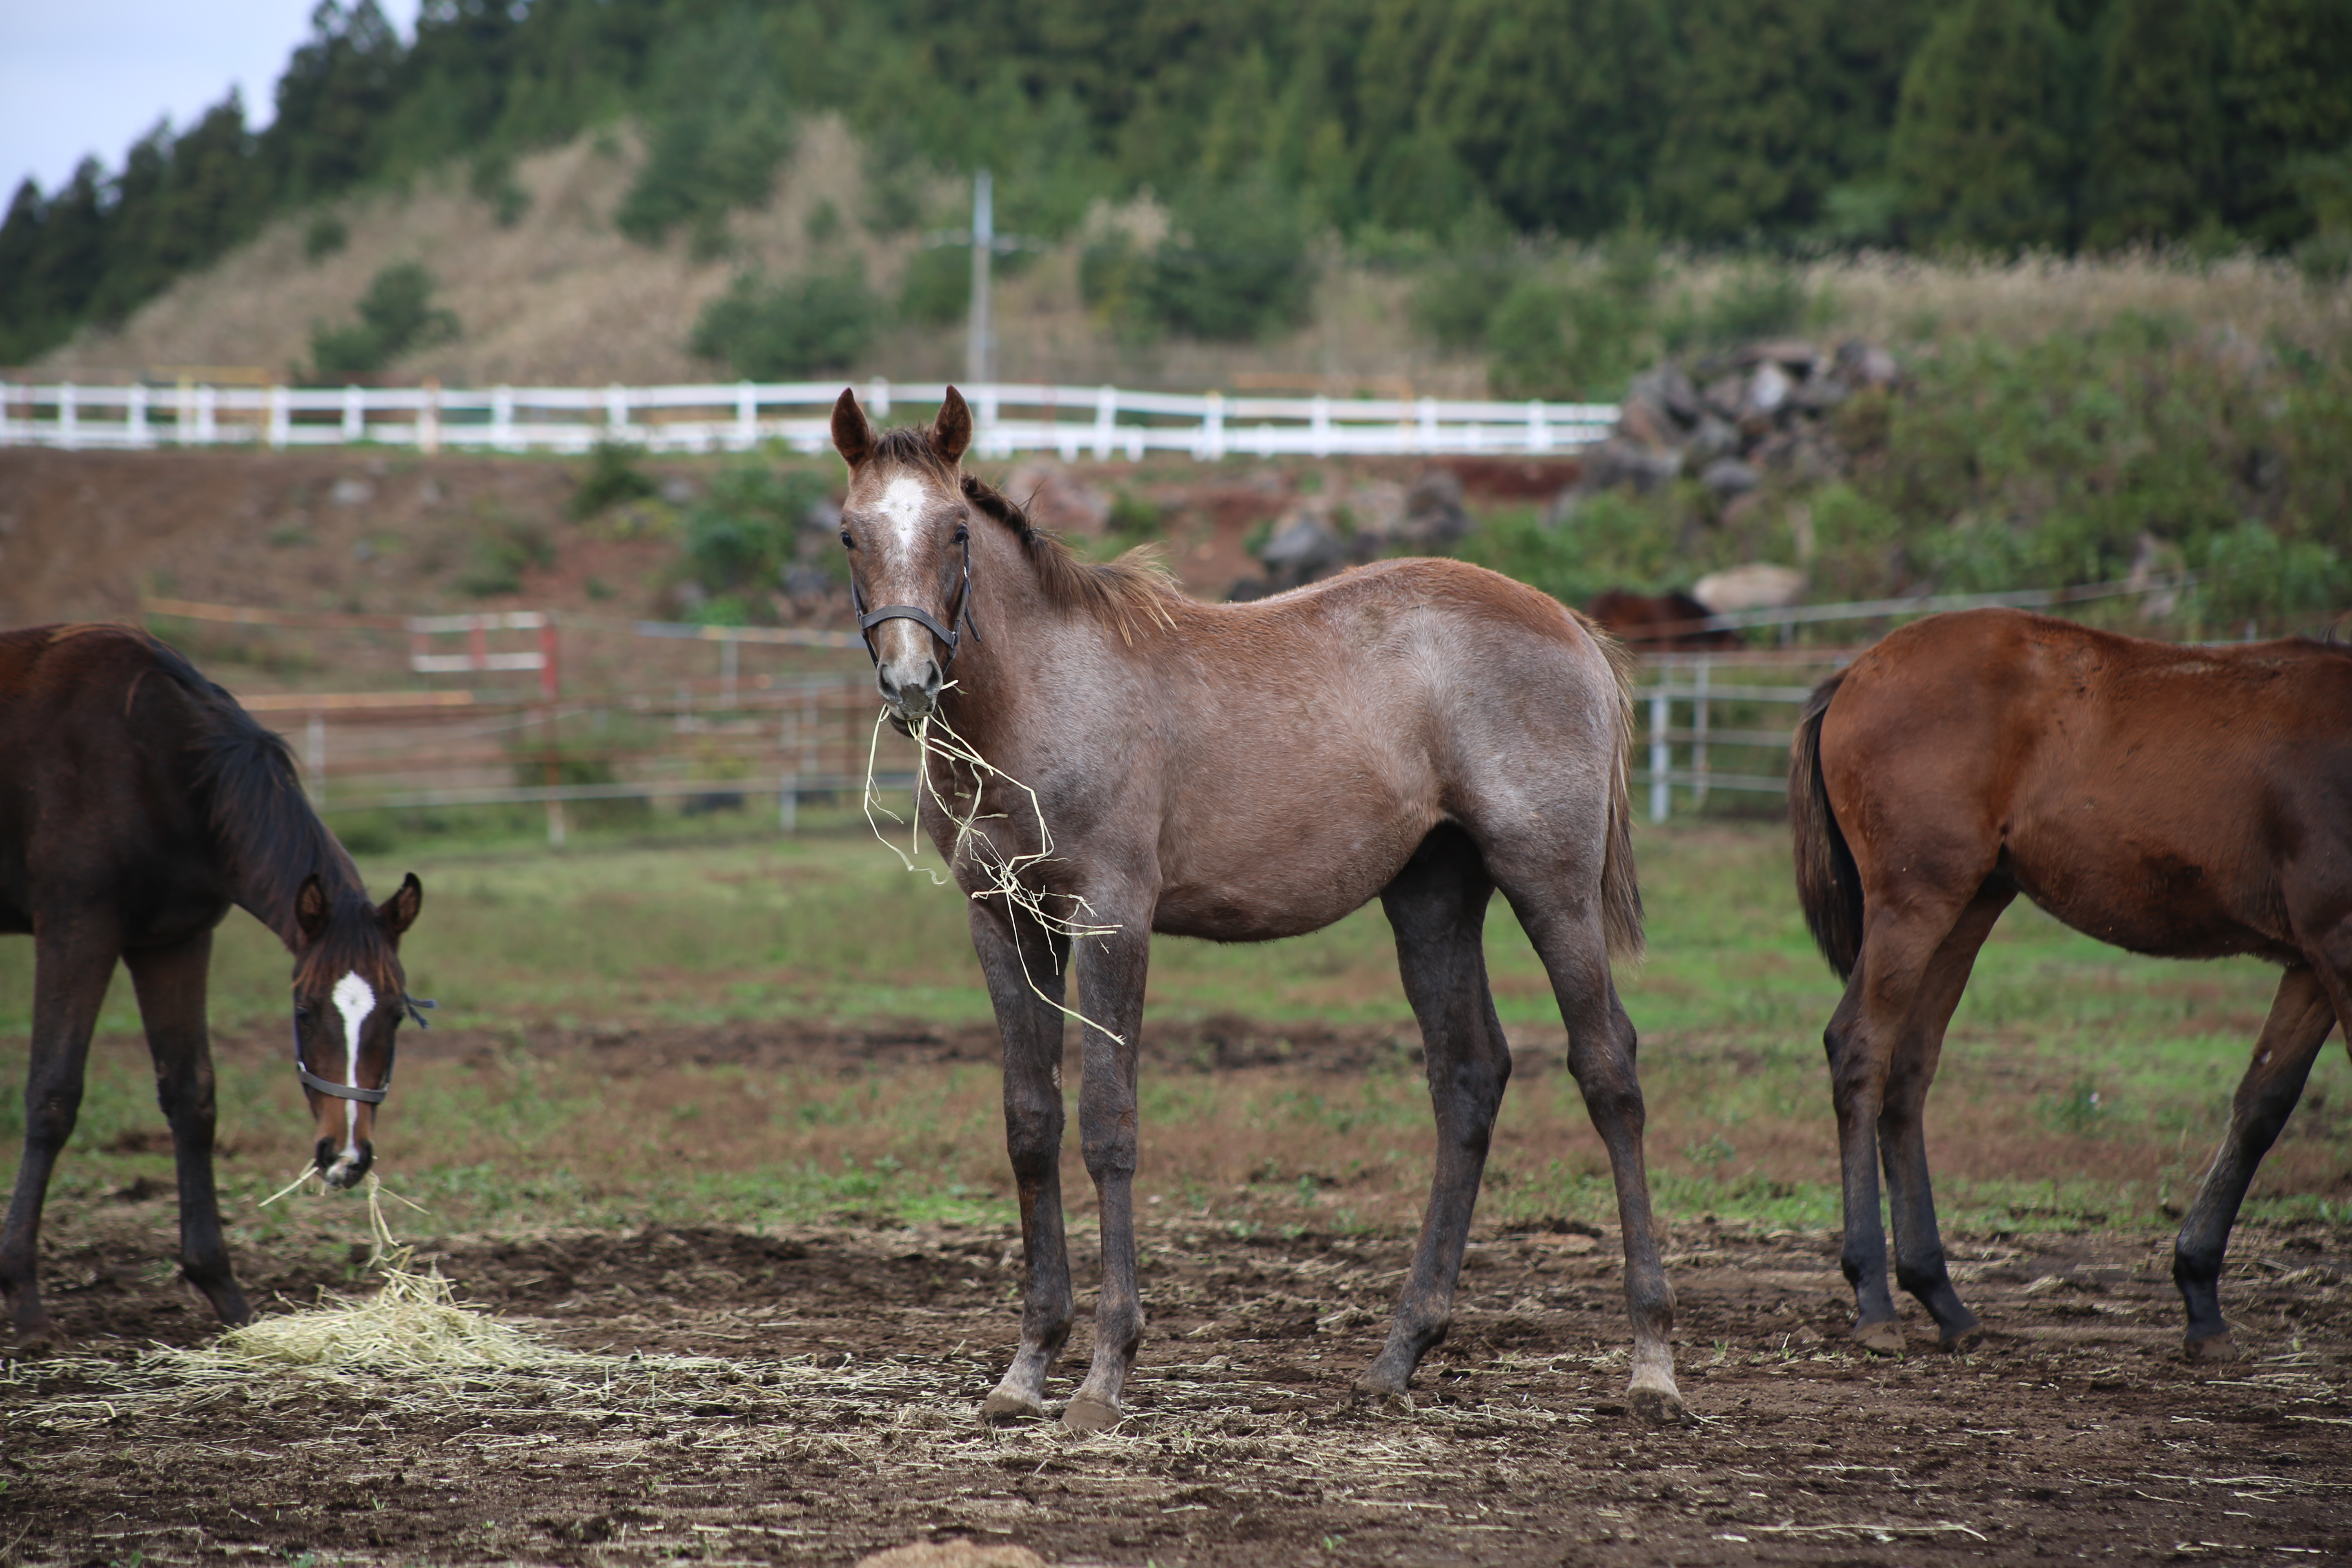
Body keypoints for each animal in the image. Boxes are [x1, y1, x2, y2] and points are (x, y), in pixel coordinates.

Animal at [2, 625, 423, 1354]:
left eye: (397, 1015)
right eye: (303, 1011)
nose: (345, 1157)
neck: (155, 759)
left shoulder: (174, 941)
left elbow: (192, 1096)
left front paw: (223, 1291)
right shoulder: (76, 926)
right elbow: (53, 1093)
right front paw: (25, 1303)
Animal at [828, 385, 1675, 1429]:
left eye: (953, 529)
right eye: (850, 533)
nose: (909, 682)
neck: (1033, 702)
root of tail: (1568, 622)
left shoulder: (1113, 917)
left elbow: (1108, 1122)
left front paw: (1105, 1371)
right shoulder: (1002, 920)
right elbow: (1030, 1122)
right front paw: (1027, 1365)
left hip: (1549, 885)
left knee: (1607, 1069)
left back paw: (1651, 1358)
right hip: (1432, 896)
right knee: (1469, 1076)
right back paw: (1399, 1352)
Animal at [1797, 606, 2352, 1354]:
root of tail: (1857, 672)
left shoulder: (2310, 965)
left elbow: (2262, 1104)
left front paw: (2201, 1296)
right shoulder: (2339, 945)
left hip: (1970, 907)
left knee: (1908, 1070)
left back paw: (1940, 1295)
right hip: (1915, 905)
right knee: (1861, 1050)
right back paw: (1876, 1300)